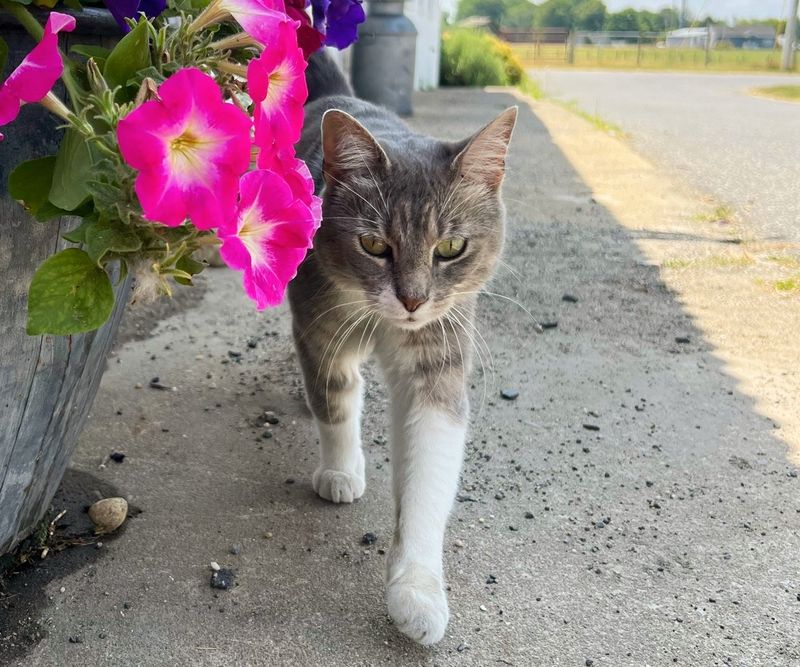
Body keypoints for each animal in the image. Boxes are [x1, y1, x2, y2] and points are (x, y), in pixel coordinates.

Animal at [290, 54, 516, 644]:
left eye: (451, 247)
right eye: (373, 244)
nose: (412, 300)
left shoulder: (437, 359)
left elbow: (427, 473)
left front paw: (417, 593)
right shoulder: (320, 328)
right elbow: (336, 401)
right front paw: (341, 470)